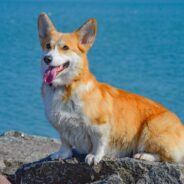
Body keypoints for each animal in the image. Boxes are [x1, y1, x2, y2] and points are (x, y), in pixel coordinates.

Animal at [37, 12, 184, 165]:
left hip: (151, 128)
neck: (66, 86)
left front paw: (94, 156)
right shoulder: (62, 126)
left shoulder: (100, 125)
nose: (47, 58)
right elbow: (65, 142)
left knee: (167, 157)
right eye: (48, 46)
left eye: (65, 47)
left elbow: (99, 143)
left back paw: (144, 155)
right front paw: (62, 154)